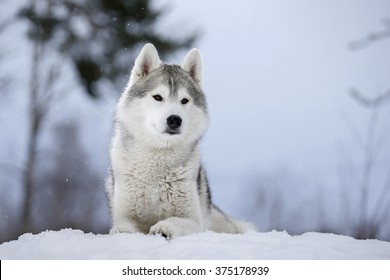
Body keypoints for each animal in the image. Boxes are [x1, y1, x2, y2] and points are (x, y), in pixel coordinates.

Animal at [106, 43, 253, 238]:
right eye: (158, 97)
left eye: (184, 100)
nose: (174, 120)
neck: (157, 163)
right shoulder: (125, 215)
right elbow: (123, 226)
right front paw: (122, 231)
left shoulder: (194, 222)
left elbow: (174, 220)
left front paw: (163, 227)